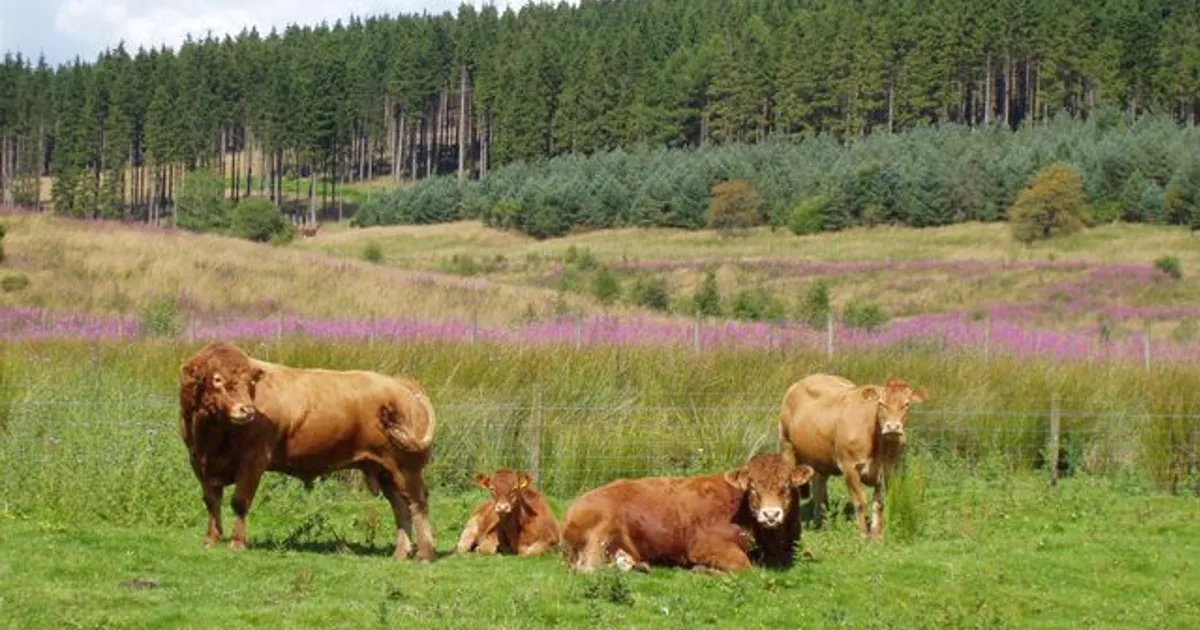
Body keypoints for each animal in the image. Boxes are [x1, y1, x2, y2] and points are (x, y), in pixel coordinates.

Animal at [178, 341, 437, 562]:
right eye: (217, 379)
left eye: (250, 383)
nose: (247, 410)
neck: (210, 435)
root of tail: (401, 383)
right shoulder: (199, 463)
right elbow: (212, 501)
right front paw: (211, 539)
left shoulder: (253, 460)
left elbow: (240, 501)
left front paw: (237, 542)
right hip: (385, 470)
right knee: (400, 505)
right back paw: (401, 553)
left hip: (406, 468)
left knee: (417, 502)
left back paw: (425, 553)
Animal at [561, 453, 814, 573]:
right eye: (753, 487)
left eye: (786, 486)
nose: (771, 515)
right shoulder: (706, 545)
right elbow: (744, 566)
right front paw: (703, 570)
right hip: (601, 529)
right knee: (587, 568)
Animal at [779, 374, 927, 538]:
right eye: (881, 404)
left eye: (906, 404)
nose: (893, 427)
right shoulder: (849, 466)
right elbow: (860, 502)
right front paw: (863, 534)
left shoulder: (889, 468)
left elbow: (879, 503)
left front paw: (877, 534)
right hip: (787, 448)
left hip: (820, 458)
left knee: (819, 487)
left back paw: (820, 522)